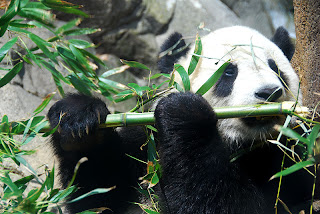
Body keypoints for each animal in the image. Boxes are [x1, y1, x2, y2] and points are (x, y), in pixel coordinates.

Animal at [47, 25, 312, 213]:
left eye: (276, 69)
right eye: (229, 72)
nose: (269, 93)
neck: (239, 144)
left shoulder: (292, 160)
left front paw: (185, 115)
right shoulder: (145, 149)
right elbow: (102, 196)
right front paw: (78, 122)